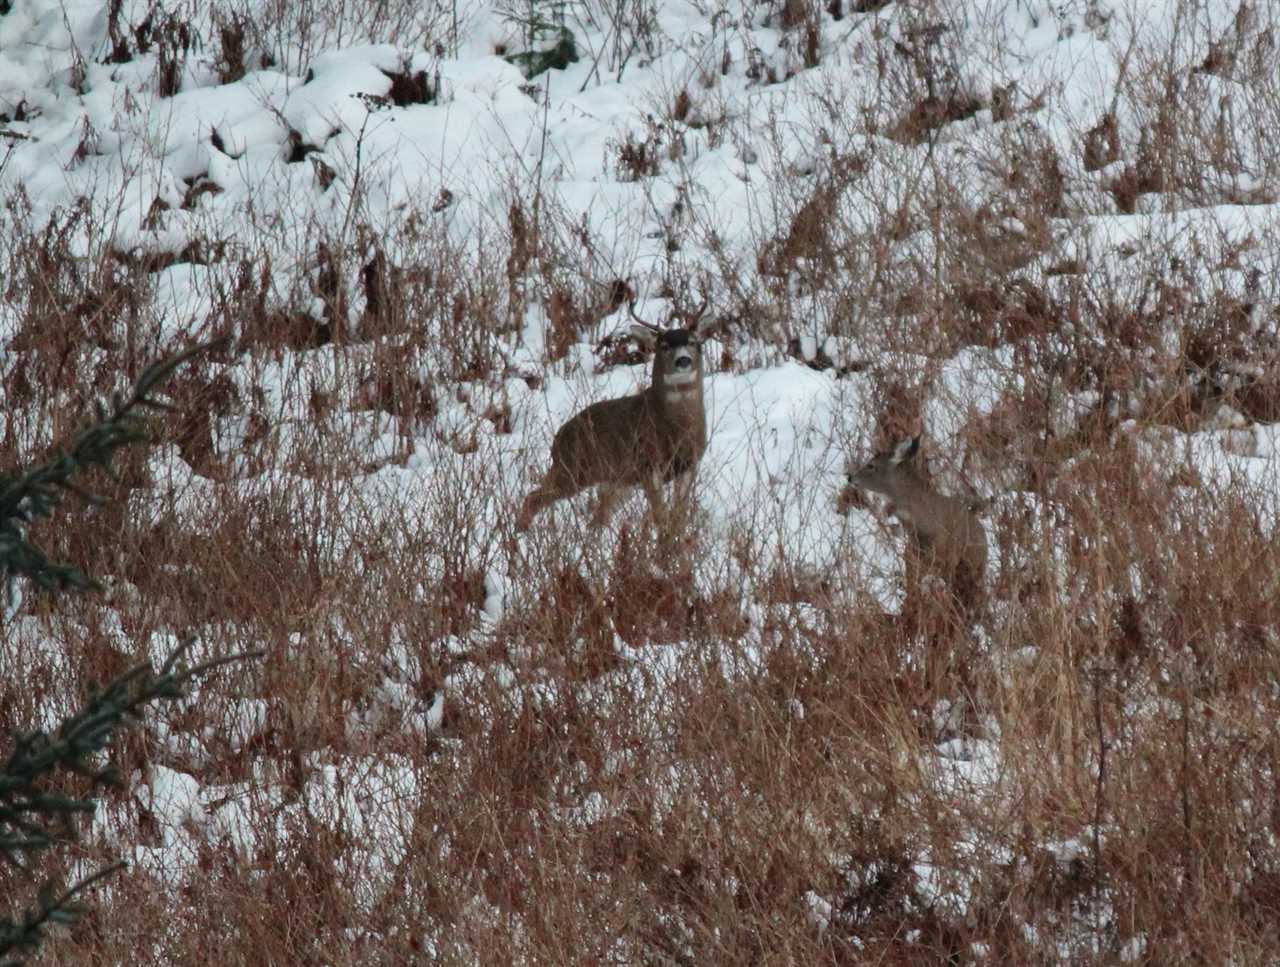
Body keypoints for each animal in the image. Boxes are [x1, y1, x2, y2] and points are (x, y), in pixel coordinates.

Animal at [514, 298, 716, 532]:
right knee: (533, 498)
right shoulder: (647, 464)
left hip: (615, 481)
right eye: (664, 346)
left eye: (694, 342)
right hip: (574, 469)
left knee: (598, 516)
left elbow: (678, 516)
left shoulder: (689, 465)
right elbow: (660, 516)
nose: (683, 360)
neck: (675, 429)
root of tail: (557, 441)